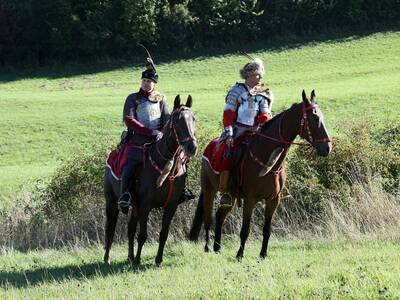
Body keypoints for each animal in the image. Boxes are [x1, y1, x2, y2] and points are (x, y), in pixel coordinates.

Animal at [103, 95, 197, 266]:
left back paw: (130, 256)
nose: (192, 147)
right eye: (177, 120)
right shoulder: (145, 204)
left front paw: (158, 260)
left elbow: (163, 234)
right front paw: (138, 261)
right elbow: (143, 235)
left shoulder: (171, 205)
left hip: (135, 206)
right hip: (112, 202)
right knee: (110, 229)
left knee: (130, 228)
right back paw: (108, 258)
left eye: (193, 118)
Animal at [190, 89, 332, 260]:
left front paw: (263, 254)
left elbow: (267, 229)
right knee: (208, 218)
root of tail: (209, 146)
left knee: (219, 215)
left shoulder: (273, 200)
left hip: (232, 197)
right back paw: (207, 247)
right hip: (209, 190)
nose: (327, 148)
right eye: (315, 118)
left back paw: (217, 247)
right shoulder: (250, 199)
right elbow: (245, 230)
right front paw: (239, 255)